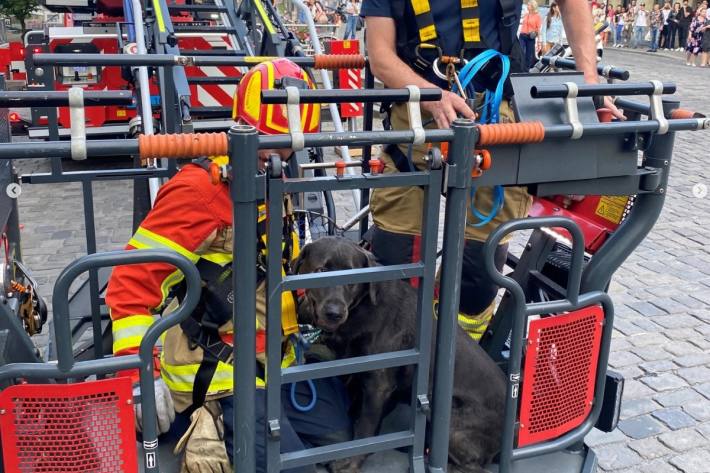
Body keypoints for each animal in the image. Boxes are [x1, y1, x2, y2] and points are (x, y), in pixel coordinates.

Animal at [294, 236, 506, 472]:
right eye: (321, 270)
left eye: (353, 278)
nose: (334, 313)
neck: (364, 308)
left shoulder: (378, 385)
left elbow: (366, 426)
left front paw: (352, 461)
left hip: (446, 415)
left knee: (474, 466)